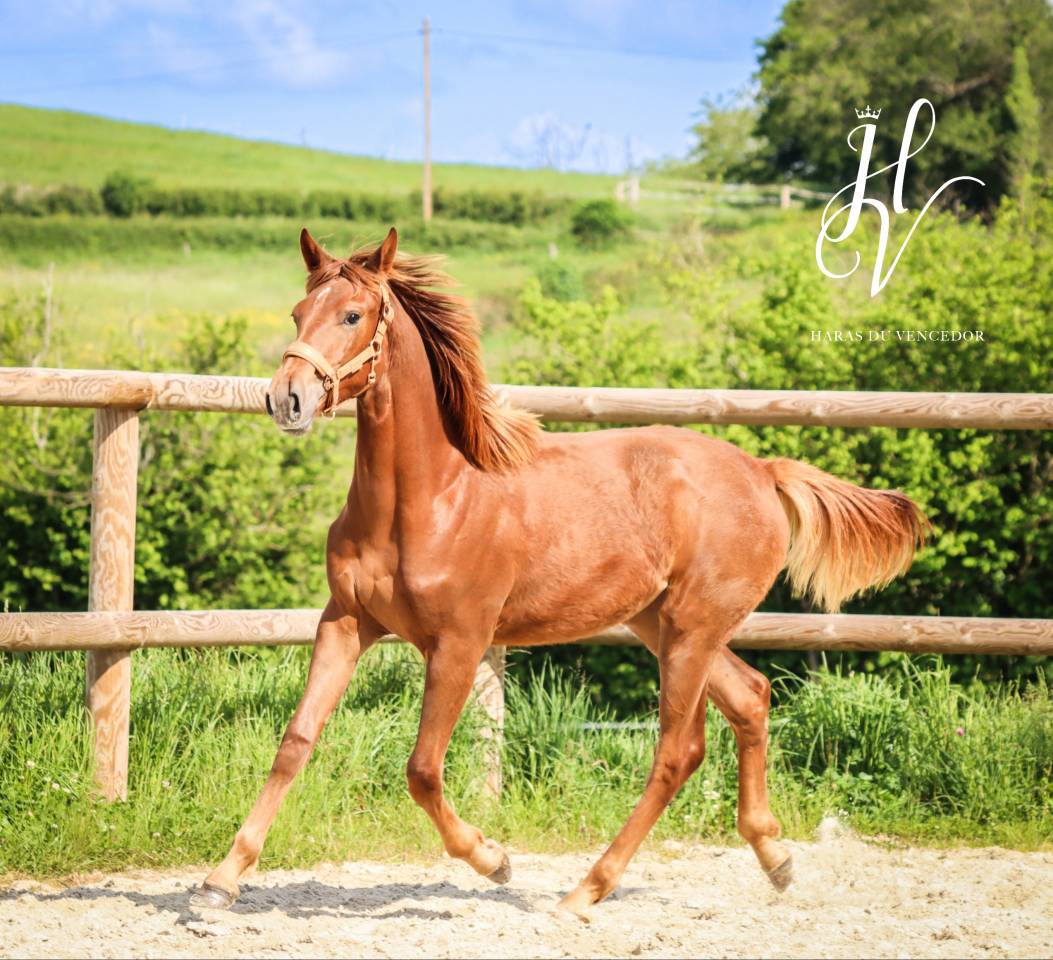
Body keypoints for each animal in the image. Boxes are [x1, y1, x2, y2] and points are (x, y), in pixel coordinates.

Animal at [193, 227, 926, 918]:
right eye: (297, 312)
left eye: (351, 314)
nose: (286, 399)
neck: (431, 498)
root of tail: (762, 471)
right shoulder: (345, 623)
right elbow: (295, 741)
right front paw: (221, 881)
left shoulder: (460, 643)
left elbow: (423, 770)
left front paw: (494, 861)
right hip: (665, 626)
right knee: (749, 698)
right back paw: (774, 857)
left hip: (690, 632)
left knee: (676, 751)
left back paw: (585, 891)